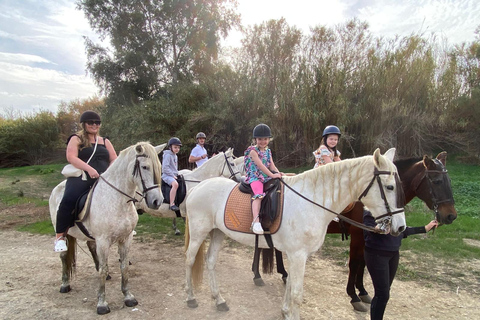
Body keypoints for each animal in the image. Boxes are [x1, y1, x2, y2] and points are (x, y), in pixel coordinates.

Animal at [49, 141, 164, 314]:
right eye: (144, 167)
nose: (157, 201)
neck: (119, 200)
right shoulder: (103, 240)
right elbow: (102, 270)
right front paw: (102, 303)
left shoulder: (126, 238)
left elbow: (124, 266)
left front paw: (128, 297)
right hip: (62, 230)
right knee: (63, 256)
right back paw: (65, 284)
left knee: (90, 246)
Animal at [184, 148, 404, 320]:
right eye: (390, 187)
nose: (401, 227)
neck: (311, 201)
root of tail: (198, 187)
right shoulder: (298, 255)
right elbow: (297, 293)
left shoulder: (296, 255)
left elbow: (289, 285)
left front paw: (286, 312)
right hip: (199, 233)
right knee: (190, 260)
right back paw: (190, 297)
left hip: (217, 233)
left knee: (211, 261)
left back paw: (219, 300)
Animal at [253, 151, 456, 312]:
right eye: (437, 181)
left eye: (449, 181)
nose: (451, 216)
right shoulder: (356, 236)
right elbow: (355, 264)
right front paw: (355, 296)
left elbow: (363, 264)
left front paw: (363, 292)